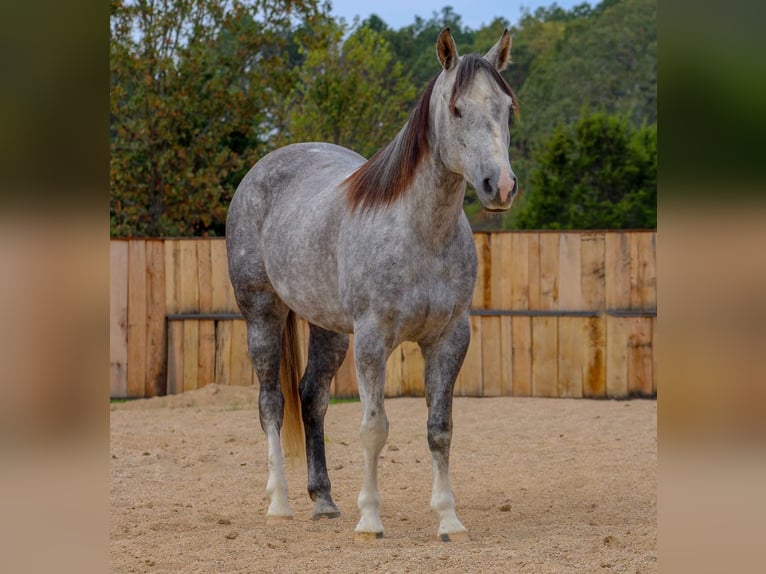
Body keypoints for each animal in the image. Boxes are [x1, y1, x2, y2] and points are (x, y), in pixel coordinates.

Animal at [226, 28, 519, 542]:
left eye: (507, 106)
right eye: (457, 108)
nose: (499, 186)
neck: (420, 234)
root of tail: (261, 171)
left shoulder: (449, 338)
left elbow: (439, 427)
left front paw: (448, 519)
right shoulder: (372, 340)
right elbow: (373, 428)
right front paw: (370, 520)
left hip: (328, 329)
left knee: (312, 398)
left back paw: (323, 501)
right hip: (262, 315)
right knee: (271, 403)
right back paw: (279, 502)